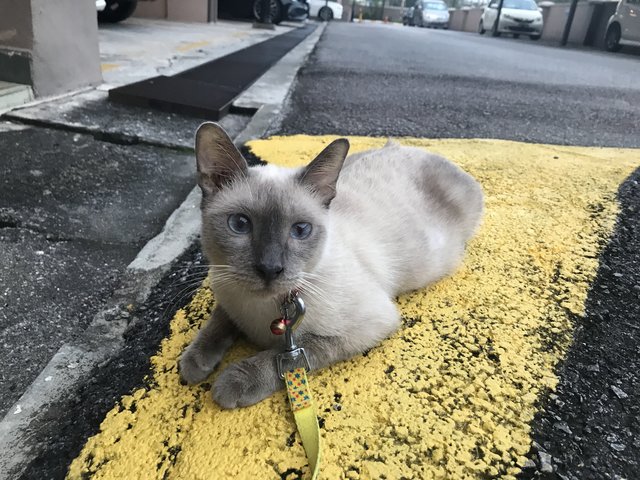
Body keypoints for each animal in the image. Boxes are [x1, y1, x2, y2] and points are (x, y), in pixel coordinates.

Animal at [178, 123, 482, 408]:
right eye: (240, 224)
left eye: (300, 230)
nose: (270, 269)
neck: (261, 310)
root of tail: (409, 148)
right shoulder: (227, 289)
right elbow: (219, 321)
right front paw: (194, 363)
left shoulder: (368, 324)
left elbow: (289, 354)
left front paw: (234, 381)